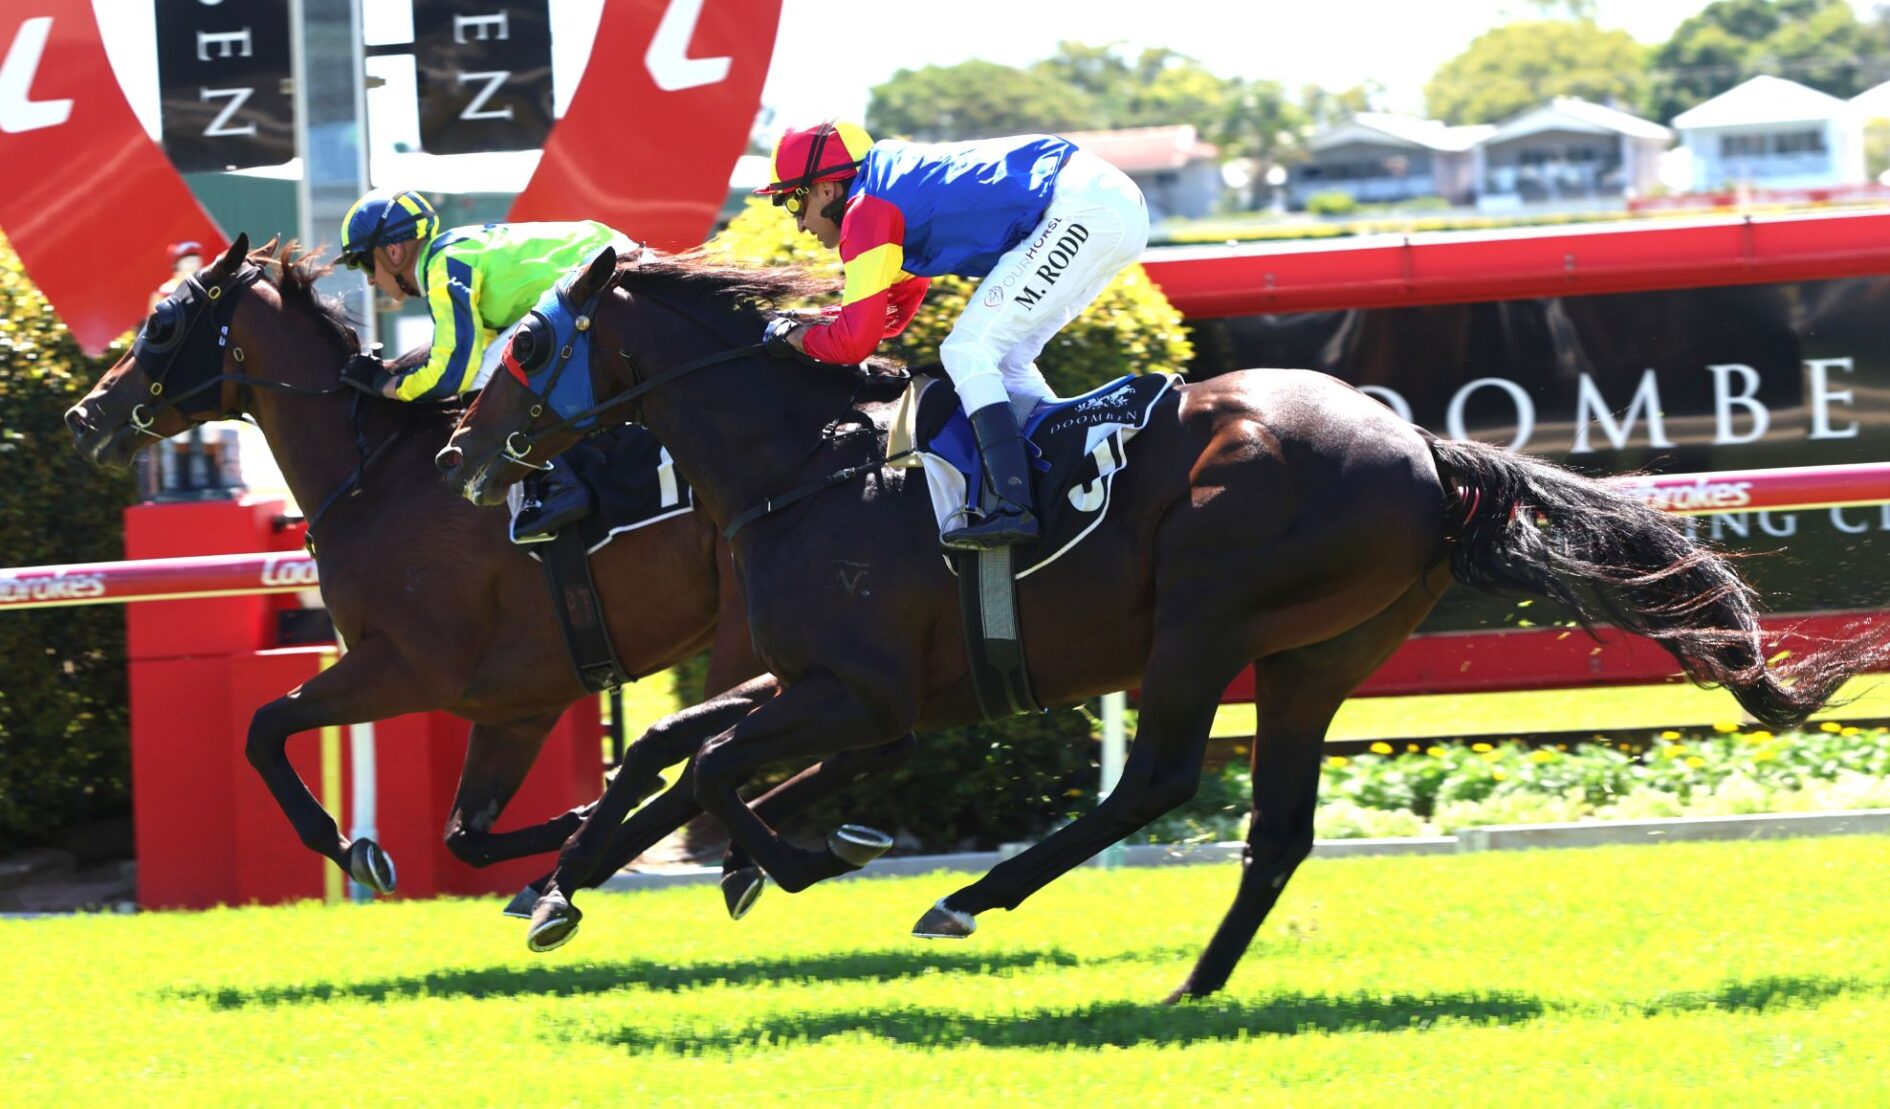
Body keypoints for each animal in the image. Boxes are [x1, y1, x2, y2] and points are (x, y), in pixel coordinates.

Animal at [65, 235, 913, 910]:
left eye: (162, 323)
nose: (85, 415)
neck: (374, 475)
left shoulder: (411, 665)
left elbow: (265, 727)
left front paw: (357, 851)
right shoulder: (518, 702)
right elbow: (465, 834)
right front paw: (570, 833)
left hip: (751, 637)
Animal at [436, 245, 1890, 997]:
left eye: (526, 347)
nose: (461, 457)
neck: (812, 464)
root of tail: (1422, 446)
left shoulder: (859, 691)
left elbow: (722, 772)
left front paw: (785, 858)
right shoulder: (826, 685)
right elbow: (667, 747)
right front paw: (564, 883)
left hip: (1206, 610)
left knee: (1163, 777)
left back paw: (971, 897)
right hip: (1318, 653)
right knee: (1276, 826)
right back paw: (1191, 983)